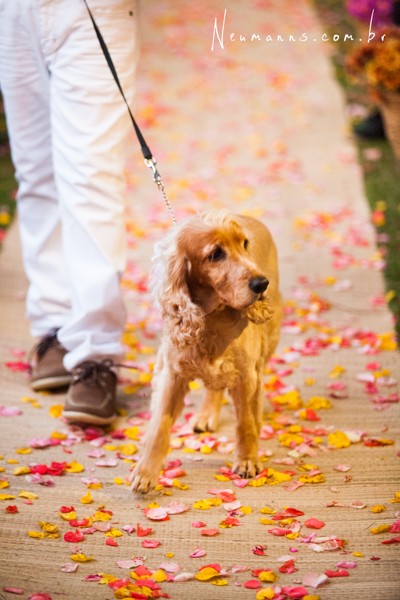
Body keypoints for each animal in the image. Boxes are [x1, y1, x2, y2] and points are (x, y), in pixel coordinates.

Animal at [130, 209, 282, 494]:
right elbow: (158, 427)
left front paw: (247, 460)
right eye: (215, 254)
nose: (262, 283)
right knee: (214, 386)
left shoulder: (246, 376)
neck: (214, 318)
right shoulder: (172, 374)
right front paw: (145, 473)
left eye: (244, 244)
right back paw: (207, 415)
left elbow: (245, 422)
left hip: (268, 342)